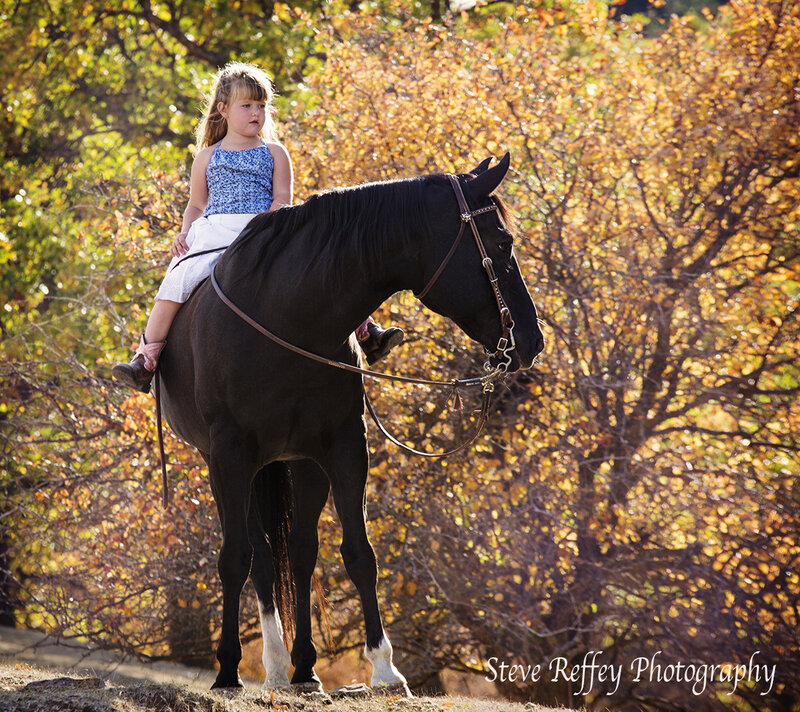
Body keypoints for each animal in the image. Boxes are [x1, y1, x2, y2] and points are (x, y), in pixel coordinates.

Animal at [157, 153, 544, 693]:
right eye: (502, 243)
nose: (532, 340)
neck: (289, 314)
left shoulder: (342, 448)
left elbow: (359, 554)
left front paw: (385, 668)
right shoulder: (230, 455)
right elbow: (234, 558)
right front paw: (228, 670)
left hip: (295, 462)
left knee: (297, 553)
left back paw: (301, 667)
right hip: (237, 465)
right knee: (258, 556)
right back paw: (271, 664)